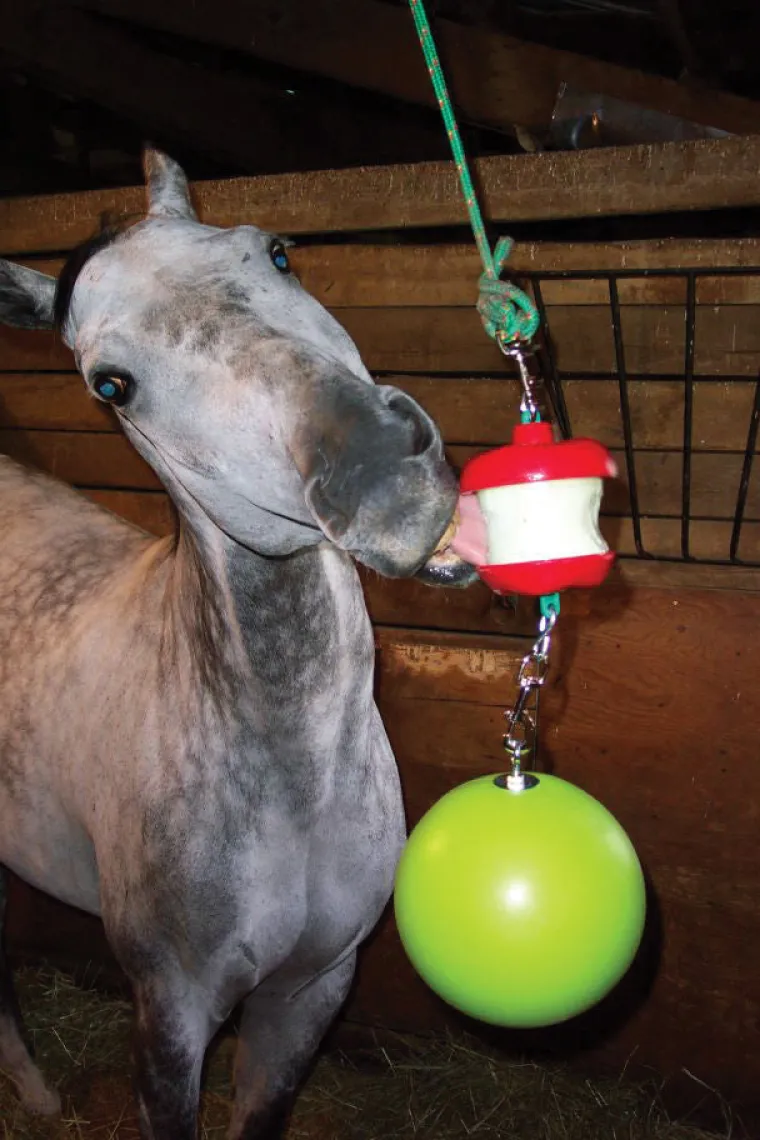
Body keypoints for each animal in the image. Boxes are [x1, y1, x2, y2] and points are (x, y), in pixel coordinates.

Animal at [0, 148, 475, 1138]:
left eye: (278, 252)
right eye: (111, 384)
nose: (380, 470)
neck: (291, 783)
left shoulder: (311, 990)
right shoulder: (172, 1015)